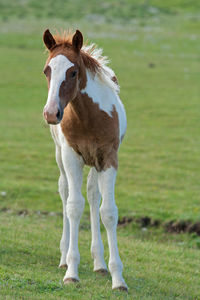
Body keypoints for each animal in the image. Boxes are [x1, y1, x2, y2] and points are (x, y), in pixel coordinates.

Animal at [42, 28, 128, 290]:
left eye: (73, 72)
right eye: (47, 70)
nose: (51, 113)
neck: (90, 117)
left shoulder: (108, 158)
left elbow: (108, 211)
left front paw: (117, 278)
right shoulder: (72, 156)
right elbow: (73, 205)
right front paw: (71, 271)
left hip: (94, 163)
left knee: (92, 194)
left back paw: (99, 263)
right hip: (60, 154)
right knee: (64, 190)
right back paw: (63, 258)